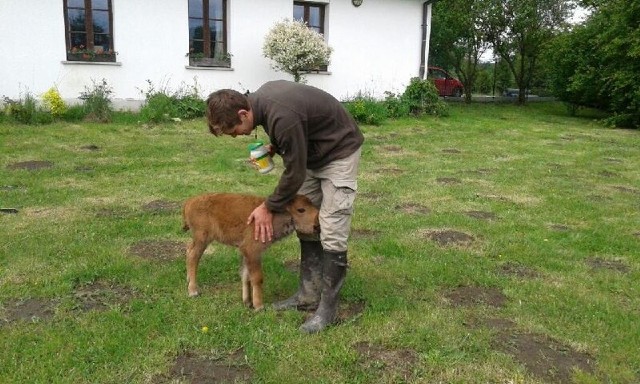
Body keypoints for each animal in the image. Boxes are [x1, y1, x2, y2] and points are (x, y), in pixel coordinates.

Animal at [180, 194, 320, 310]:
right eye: (301, 209)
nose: (316, 225)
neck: (274, 215)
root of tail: (189, 202)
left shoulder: (246, 253)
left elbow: (246, 275)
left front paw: (247, 302)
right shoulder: (253, 251)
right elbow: (257, 278)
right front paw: (259, 306)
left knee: (189, 251)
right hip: (202, 238)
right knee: (193, 256)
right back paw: (193, 291)